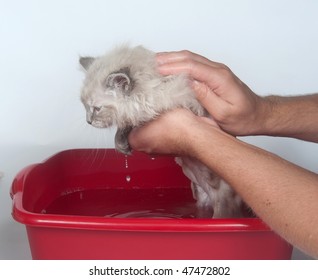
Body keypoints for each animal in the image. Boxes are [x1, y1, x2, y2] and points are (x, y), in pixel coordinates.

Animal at [80, 44, 243, 218]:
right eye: (85, 106)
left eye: (97, 109)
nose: (88, 121)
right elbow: (127, 124)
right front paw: (121, 143)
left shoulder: (185, 100)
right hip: (200, 197)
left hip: (221, 197)